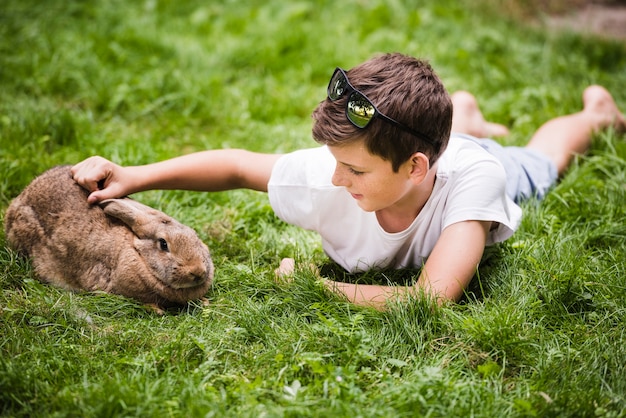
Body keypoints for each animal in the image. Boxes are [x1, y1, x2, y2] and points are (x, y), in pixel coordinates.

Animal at [2, 165, 213, 306]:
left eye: (195, 237)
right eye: (163, 244)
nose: (197, 271)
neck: (138, 254)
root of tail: (21, 198)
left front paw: (204, 301)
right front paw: (156, 309)